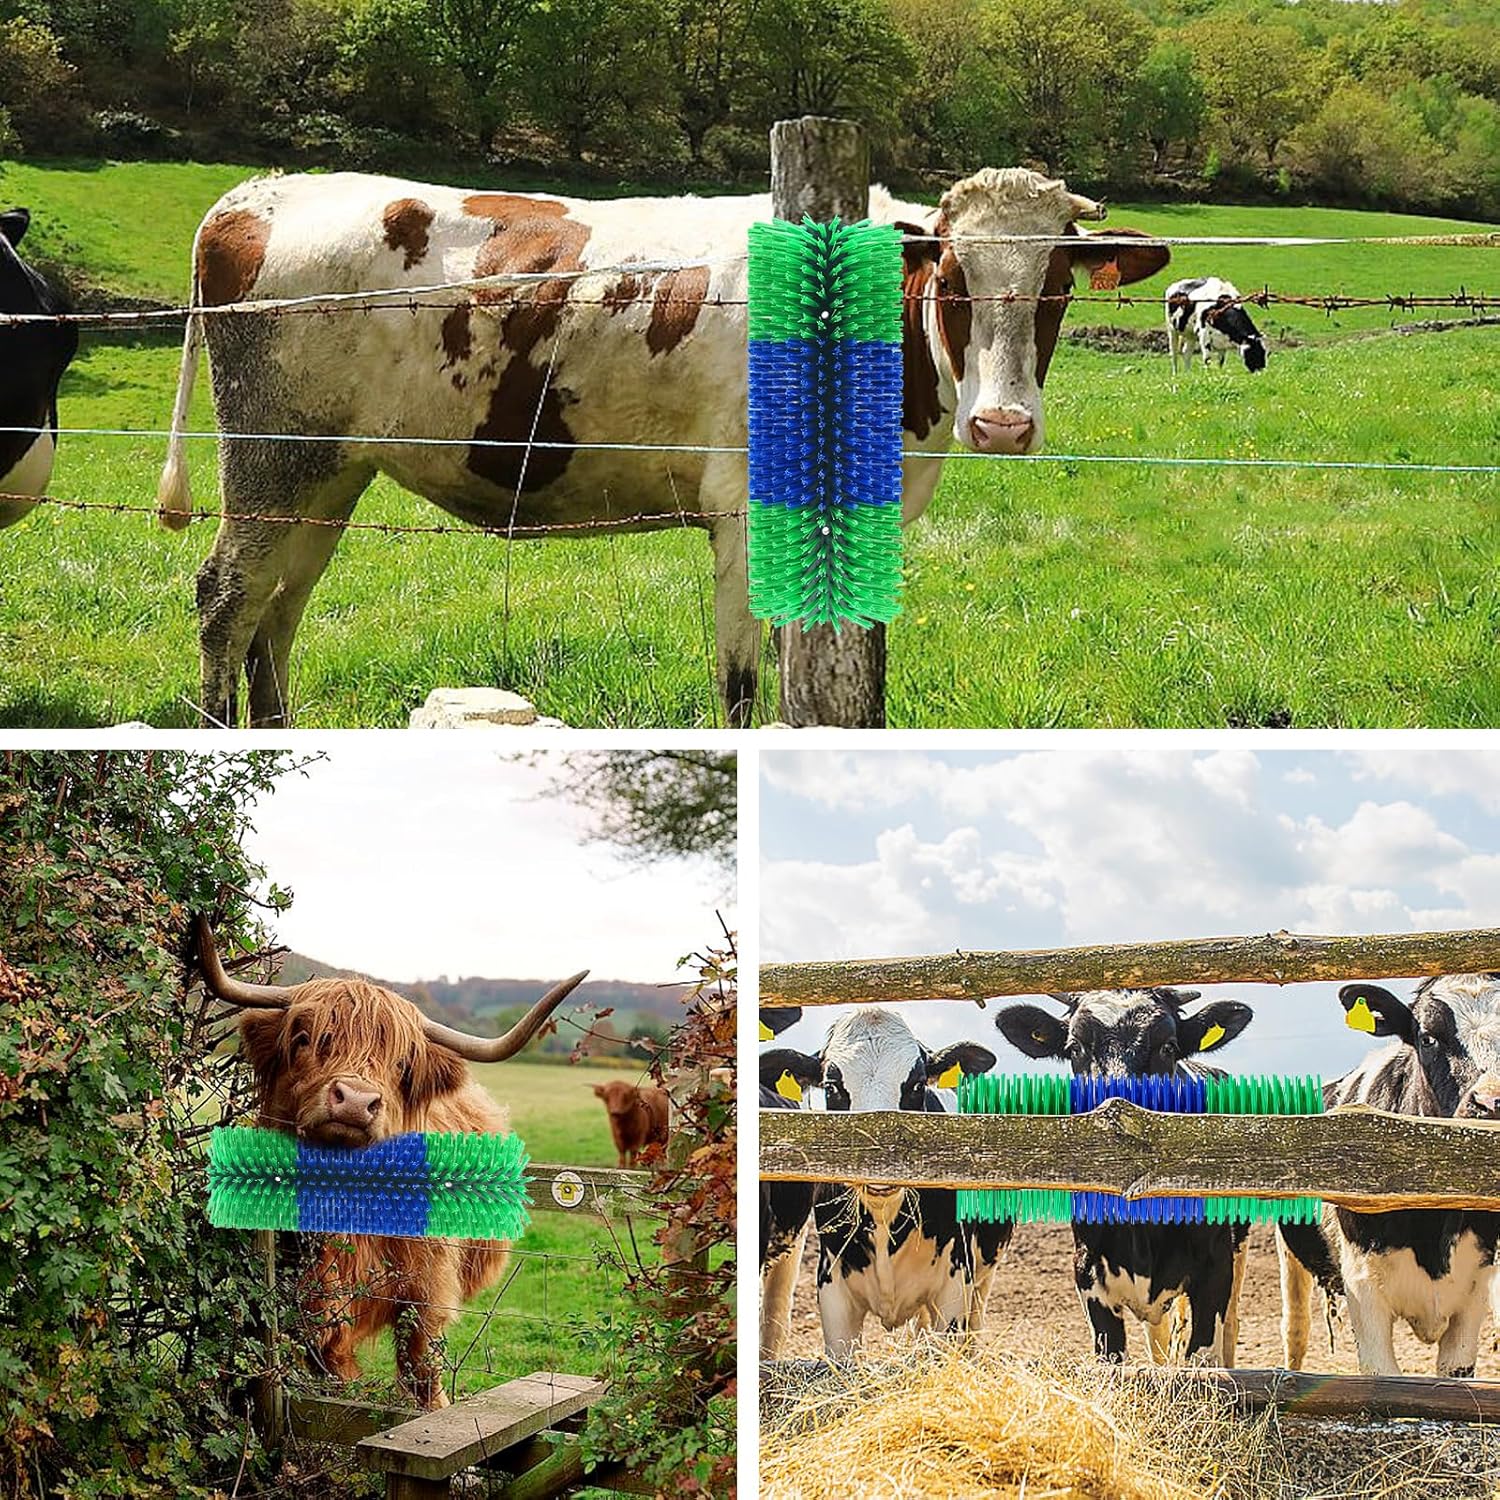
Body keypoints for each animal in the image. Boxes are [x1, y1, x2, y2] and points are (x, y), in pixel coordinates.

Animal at [154, 170, 1169, 728]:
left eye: (1056, 285)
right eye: (953, 278)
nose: (1003, 425)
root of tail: (259, 193)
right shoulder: (748, 512)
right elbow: (743, 681)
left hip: (328, 472)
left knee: (278, 611)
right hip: (272, 455)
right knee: (227, 598)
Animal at [194, 915, 588, 1408]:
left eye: (402, 1064)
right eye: (304, 1039)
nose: (354, 1101)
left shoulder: (427, 1293)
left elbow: (422, 1368)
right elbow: (333, 1369)